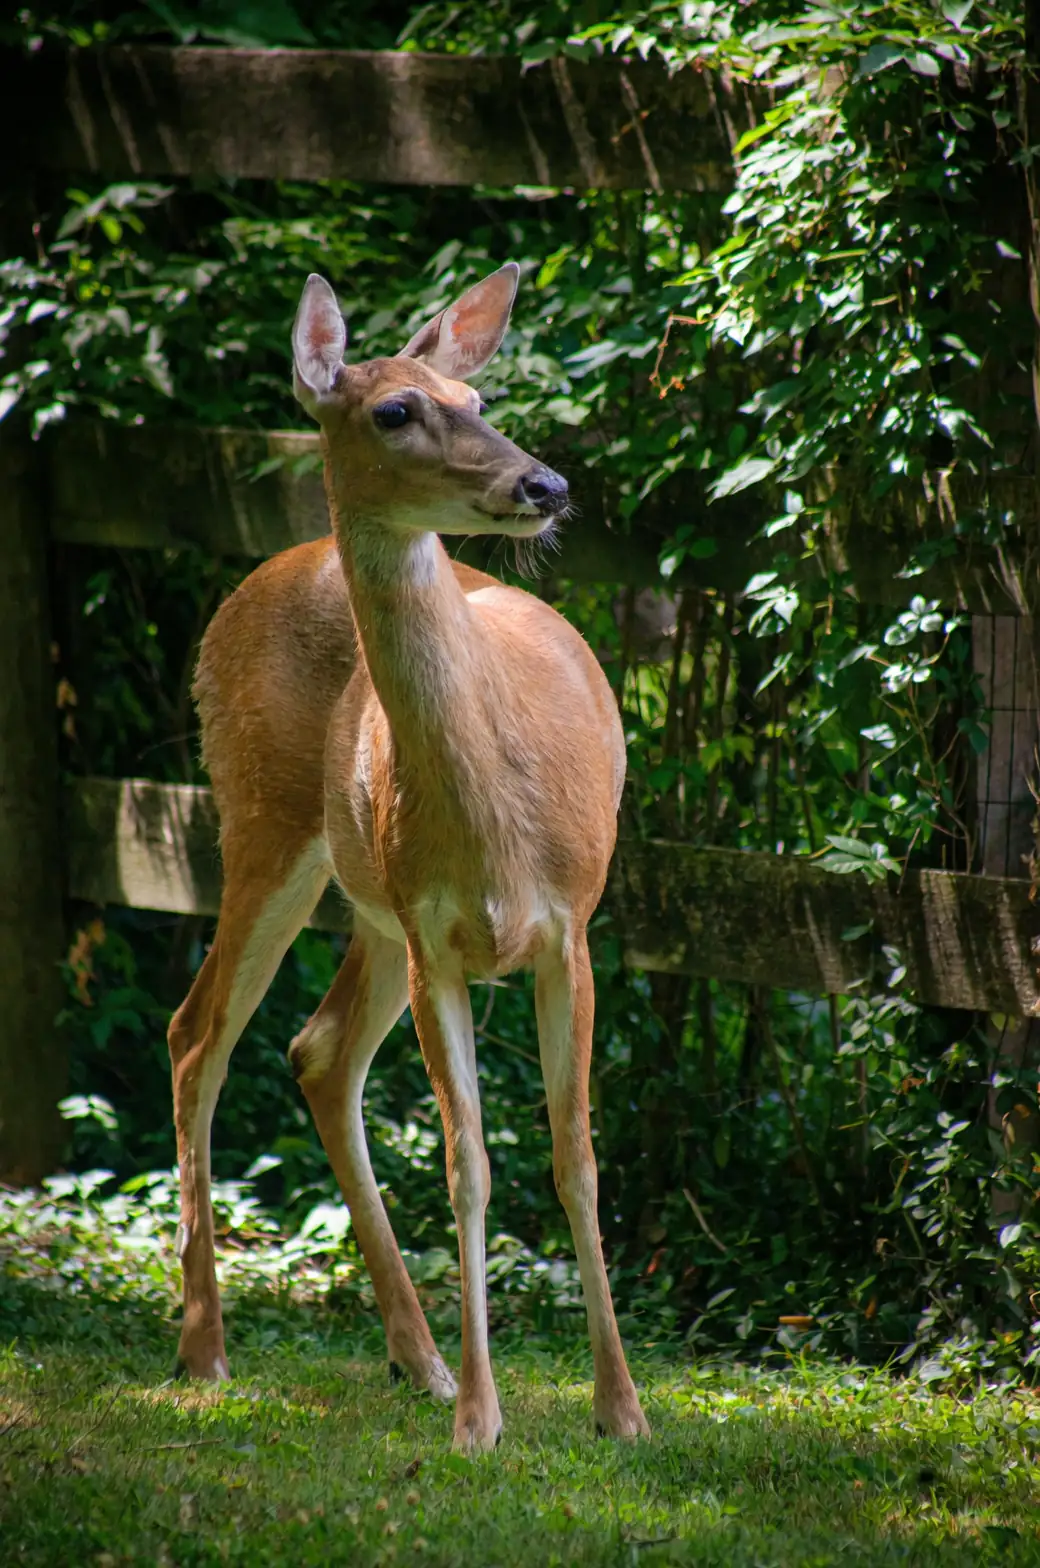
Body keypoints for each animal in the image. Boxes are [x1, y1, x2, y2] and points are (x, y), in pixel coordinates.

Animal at [166, 262, 649, 1452]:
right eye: (393, 411)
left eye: (475, 399)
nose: (544, 484)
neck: (498, 815)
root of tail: (253, 581)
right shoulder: (442, 941)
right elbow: (469, 1159)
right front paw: (483, 1417)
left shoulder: (566, 925)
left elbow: (576, 1154)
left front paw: (618, 1407)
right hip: (262, 823)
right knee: (201, 1033)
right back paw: (206, 1348)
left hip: (370, 904)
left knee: (316, 1048)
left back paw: (414, 1356)